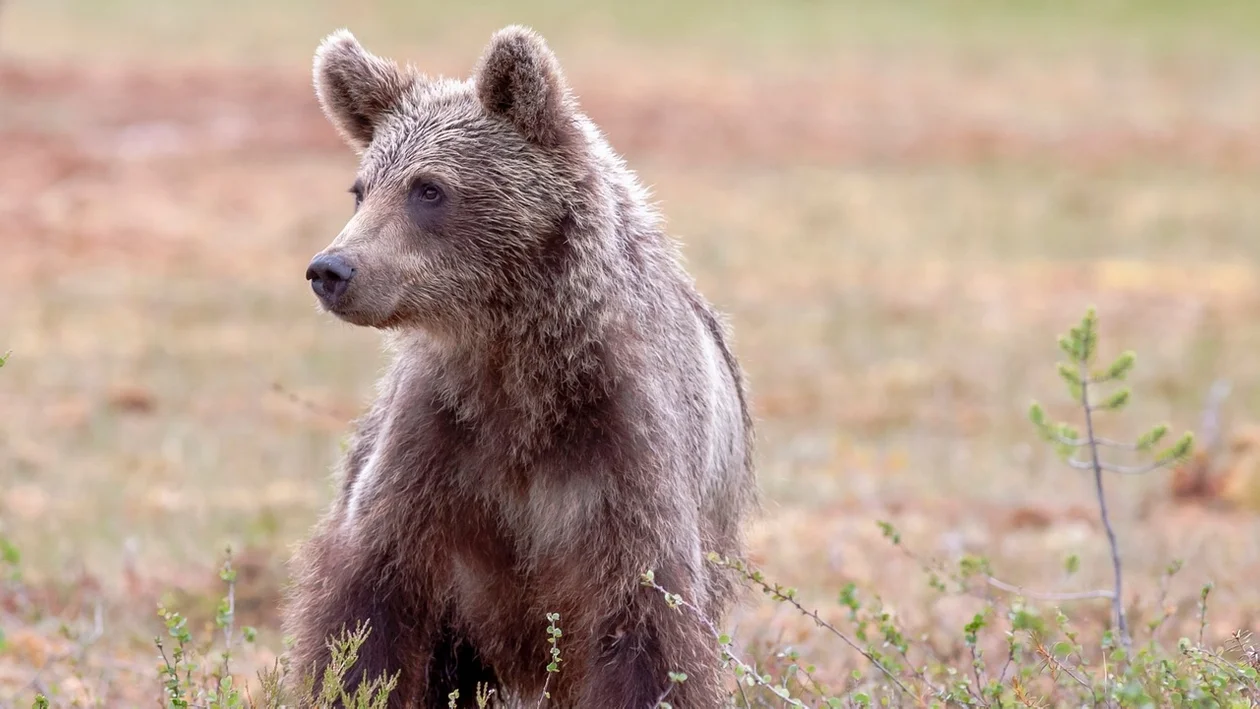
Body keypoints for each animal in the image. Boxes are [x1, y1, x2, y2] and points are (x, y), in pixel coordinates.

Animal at [283, 23, 756, 709]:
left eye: (429, 188)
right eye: (361, 188)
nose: (332, 269)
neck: (520, 363)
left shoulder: (625, 451)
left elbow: (647, 630)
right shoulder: (436, 446)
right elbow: (367, 610)